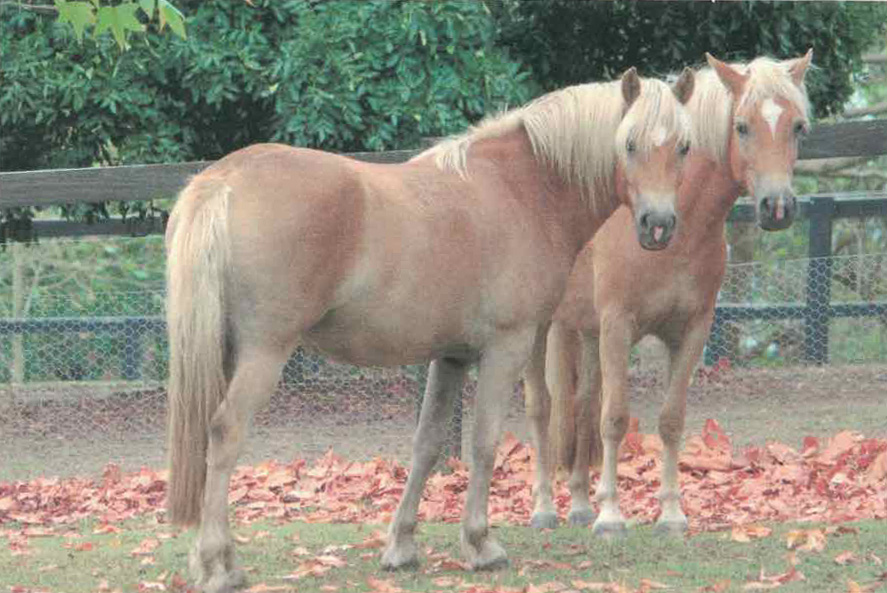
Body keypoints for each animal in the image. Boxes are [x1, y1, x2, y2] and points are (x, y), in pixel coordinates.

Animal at [164, 66, 695, 592]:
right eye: (629, 143)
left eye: (685, 146)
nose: (659, 225)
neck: (521, 188)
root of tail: (224, 179)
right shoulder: (506, 348)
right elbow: (483, 443)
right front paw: (480, 544)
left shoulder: (451, 356)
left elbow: (428, 444)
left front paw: (401, 547)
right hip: (264, 353)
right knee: (225, 433)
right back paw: (218, 566)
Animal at [523, 51, 813, 536]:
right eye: (741, 126)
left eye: (798, 126)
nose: (777, 207)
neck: (679, 227)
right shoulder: (618, 326)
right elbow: (615, 418)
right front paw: (611, 516)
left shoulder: (691, 330)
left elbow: (670, 420)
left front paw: (672, 515)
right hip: (542, 329)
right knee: (543, 407)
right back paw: (545, 508)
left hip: (583, 332)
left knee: (580, 407)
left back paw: (579, 504)